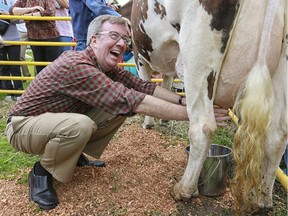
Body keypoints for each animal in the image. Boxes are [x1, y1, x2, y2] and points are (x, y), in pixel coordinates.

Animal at [131, 0, 288, 213]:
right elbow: (165, 85)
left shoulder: (139, 56)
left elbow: (148, 85)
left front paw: (148, 123)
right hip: (282, 68)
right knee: (276, 138)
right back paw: (261, 199)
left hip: (198, 53)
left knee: (202, 128)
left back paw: (184, 189)